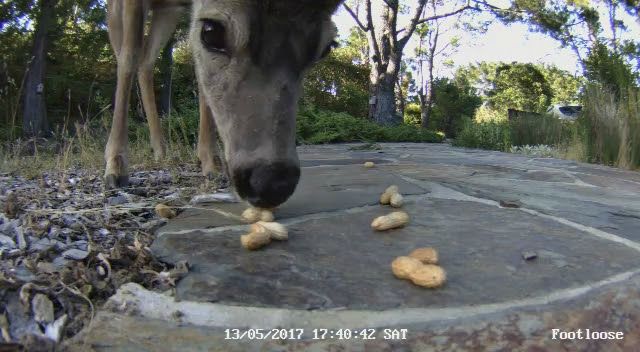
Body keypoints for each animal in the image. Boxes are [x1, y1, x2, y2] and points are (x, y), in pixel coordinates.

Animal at [105, 0, 342, 208]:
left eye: (327, 48)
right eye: (211, 32)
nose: (271, 183)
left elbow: (201, 79)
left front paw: (211, 163)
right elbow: (128, 58)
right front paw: (115, 167)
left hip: (167, 12)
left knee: (147, 61)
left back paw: (162, 150)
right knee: (129, 55)